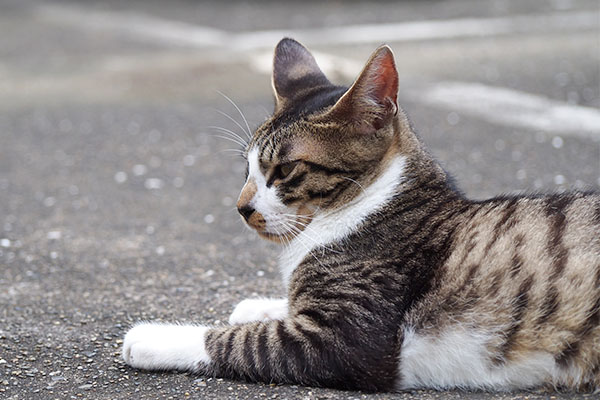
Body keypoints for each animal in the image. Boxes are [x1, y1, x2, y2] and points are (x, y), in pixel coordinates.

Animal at [123, 38, 600, 394]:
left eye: (285, 170)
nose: (241, 208)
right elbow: (282, 305)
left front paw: (151, 337)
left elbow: (245, 342)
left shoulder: (348, 340)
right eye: (248, 169)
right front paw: (256, 304)